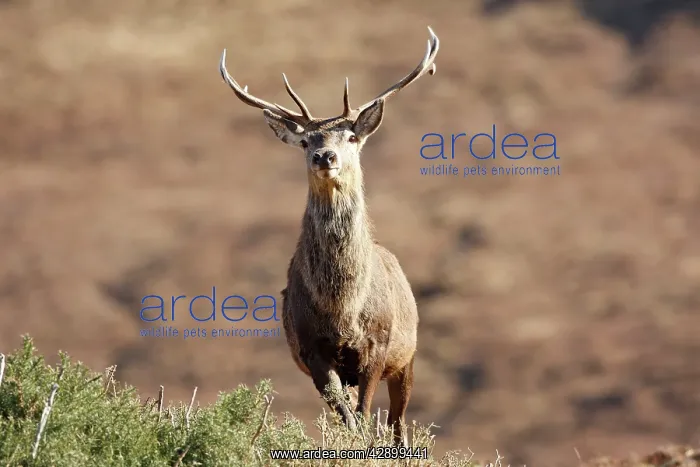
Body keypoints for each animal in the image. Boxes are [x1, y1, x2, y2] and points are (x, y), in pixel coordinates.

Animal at [219, 27, 439, 447]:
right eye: (306, 141)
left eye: (351, 137)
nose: (325, 156)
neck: (343, 310)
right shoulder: (311, 349)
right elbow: (347, 417)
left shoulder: (378, 344)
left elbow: (365, 414)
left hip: (409, 355)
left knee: (398, 423)